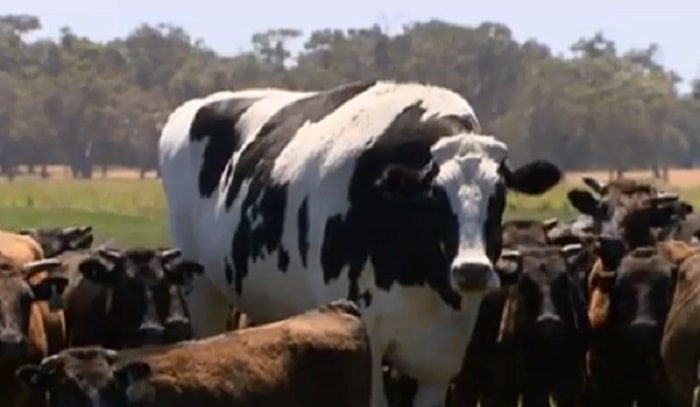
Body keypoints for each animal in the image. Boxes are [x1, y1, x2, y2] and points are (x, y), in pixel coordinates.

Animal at [157, 80, 563, 406]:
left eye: (500, 196)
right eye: (434, 196)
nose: (472, 270)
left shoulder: (442, 356)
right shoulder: (365, 340)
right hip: (201, 287)